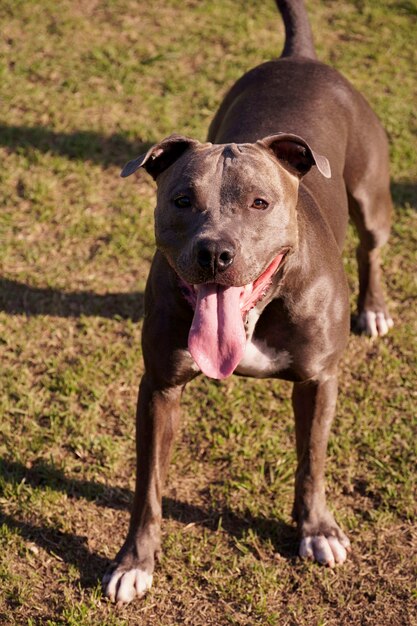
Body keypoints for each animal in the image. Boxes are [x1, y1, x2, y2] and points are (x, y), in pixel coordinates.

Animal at [102, 0, 392, 604]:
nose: (215, 252)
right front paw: (135, 562)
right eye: (181, 200)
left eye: (260, 203)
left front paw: (316, 529)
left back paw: (373, 307)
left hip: (372, 197)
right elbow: (148, 486)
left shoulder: (318, 381)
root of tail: (299, 56)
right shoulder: (159, 388)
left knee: (371, 246)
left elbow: (312, 461)